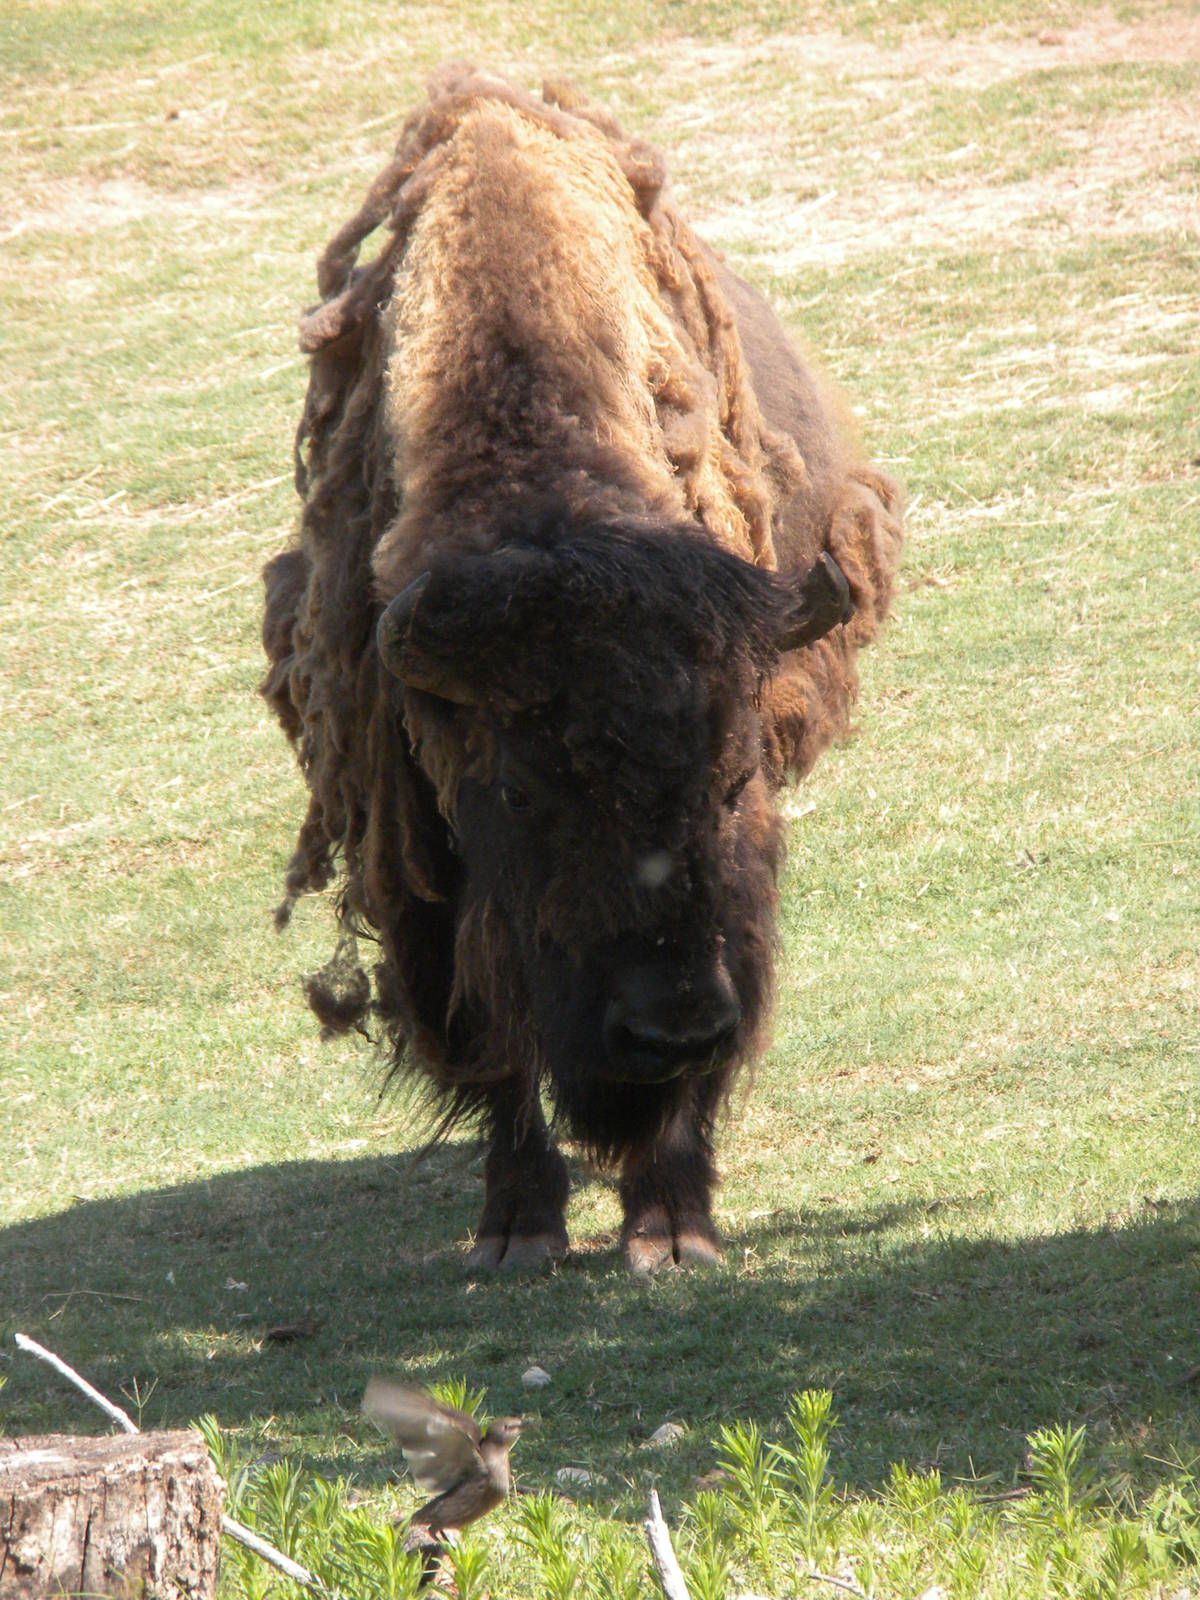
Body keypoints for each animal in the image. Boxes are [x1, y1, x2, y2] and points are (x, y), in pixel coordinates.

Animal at [260, 67, 903, 1274]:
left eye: (729, 783)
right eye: (522, 789)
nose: (669, 1030)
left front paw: (673, 1230)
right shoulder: (430, 859)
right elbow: (492, 1033)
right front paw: (517, 1231)